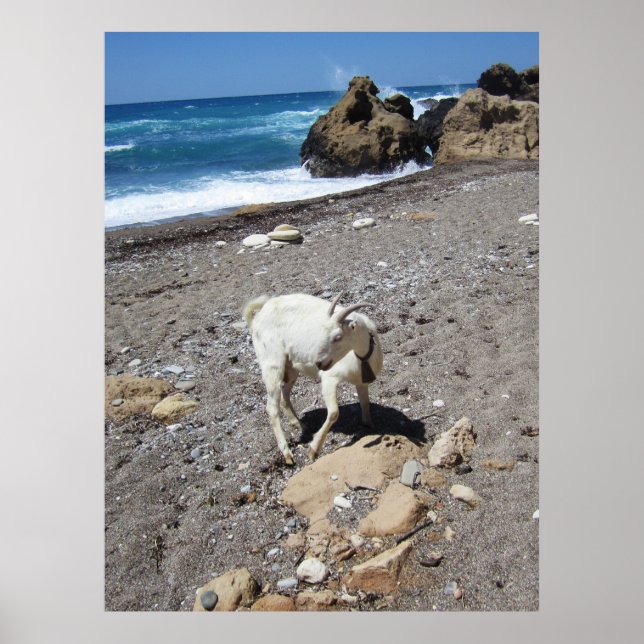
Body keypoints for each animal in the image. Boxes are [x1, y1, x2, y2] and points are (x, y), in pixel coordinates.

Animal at [243, 292, 383, 464]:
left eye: (338, 337)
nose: (319, 362)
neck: (362, 357)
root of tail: (257, 317)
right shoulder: (329, 379)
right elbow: (334, 412)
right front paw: (313, 450)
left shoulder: (361, 382)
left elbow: (365, 404)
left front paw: (370, 426)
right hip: (272, 364)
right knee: (271, 408)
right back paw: (287, 453)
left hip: (291, 367)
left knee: (284, 396)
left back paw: (301, 426)